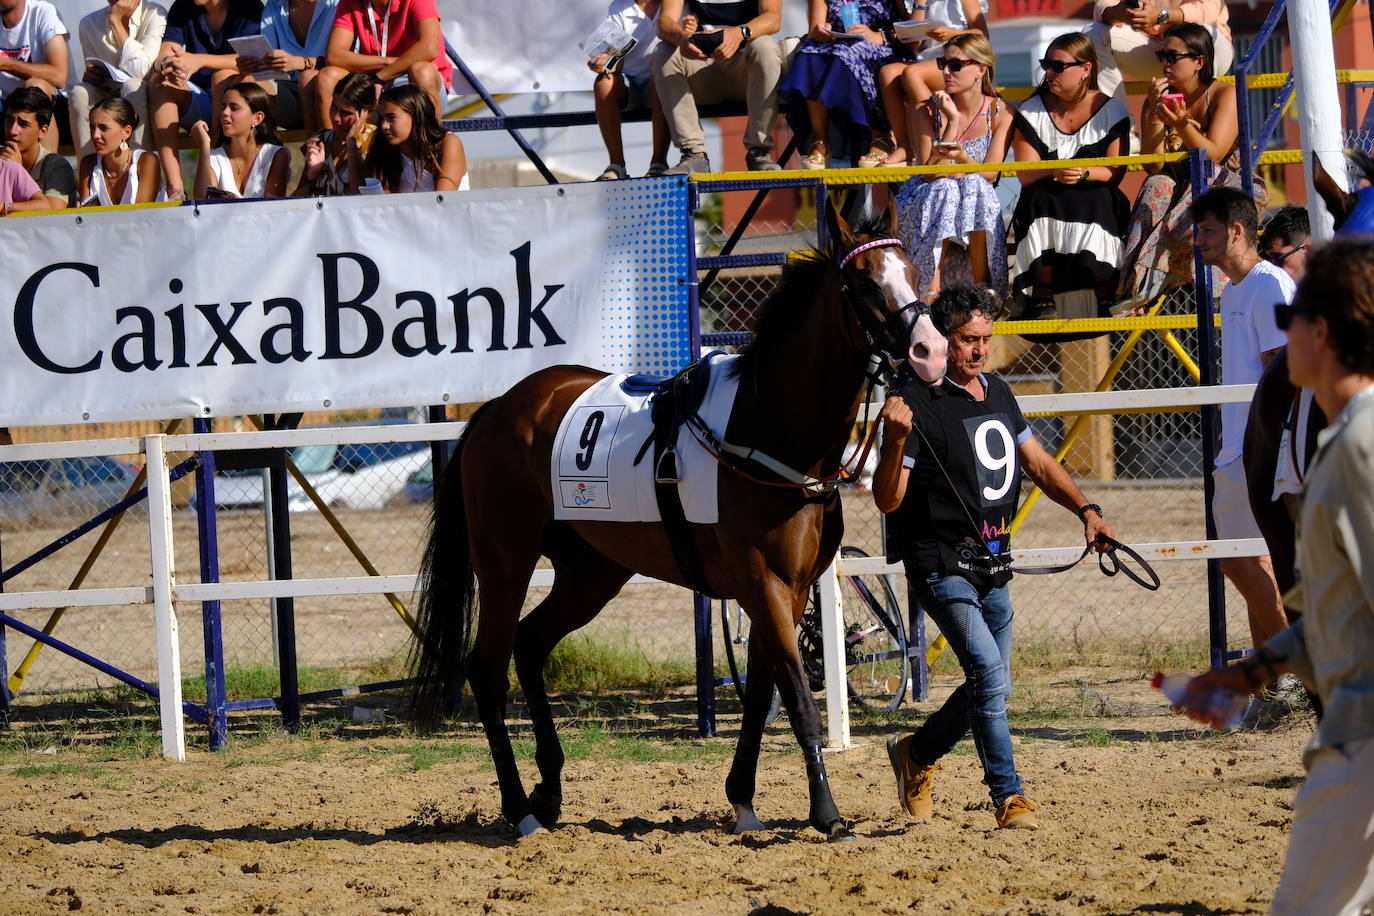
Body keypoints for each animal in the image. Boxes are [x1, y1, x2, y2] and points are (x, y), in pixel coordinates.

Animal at [408, 199, 948, 840]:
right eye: (866, 283)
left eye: (913, 273)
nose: (931, 351)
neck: (767, 427)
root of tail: (496, 409)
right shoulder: (765, 584)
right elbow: (796, 697)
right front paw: (826, 812)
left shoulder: (786, 592)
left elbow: (762, 695)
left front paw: (743, 802)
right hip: (504, 564)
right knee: (488, 671)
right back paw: (521, 810)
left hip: (590, 572)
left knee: (531, 645)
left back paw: (550, 789)